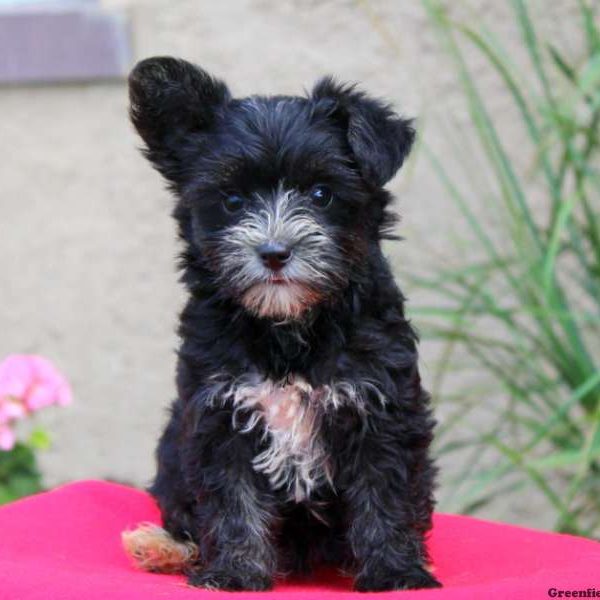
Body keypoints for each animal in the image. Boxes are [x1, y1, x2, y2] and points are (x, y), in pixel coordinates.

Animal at [123, 56, 440, 592]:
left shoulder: (381, 408)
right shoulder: (219, 414)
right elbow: (232, 501)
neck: (287, 327)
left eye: (321, 193)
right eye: (232, 201)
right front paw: (235, 571)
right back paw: (163, 547)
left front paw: (396, 571)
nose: (274, 252)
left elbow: (385, 494)